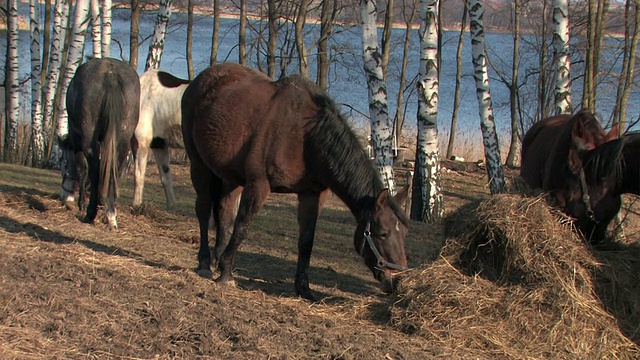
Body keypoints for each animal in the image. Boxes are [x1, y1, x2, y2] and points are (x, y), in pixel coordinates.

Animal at [131, 69, 189, 210]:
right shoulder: (159, 145)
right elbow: (166, 176)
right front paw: (171, 207)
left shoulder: (141, 143)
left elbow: (138, 175)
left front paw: (136, 205)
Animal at [180, 62, 410, 300]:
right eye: (382, 233)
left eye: (405, 233)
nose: (396, 280)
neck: (305, 136)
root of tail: (200, 80)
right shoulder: (258, 185)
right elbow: (242, 226)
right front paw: (226, 274)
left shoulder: (312, 194)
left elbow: (306, 241)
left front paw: (304, 289)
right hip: (199, 163)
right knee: (204, 209)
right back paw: (205, 264)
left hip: (230, 176)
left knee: (224, 214)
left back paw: (216, 258)